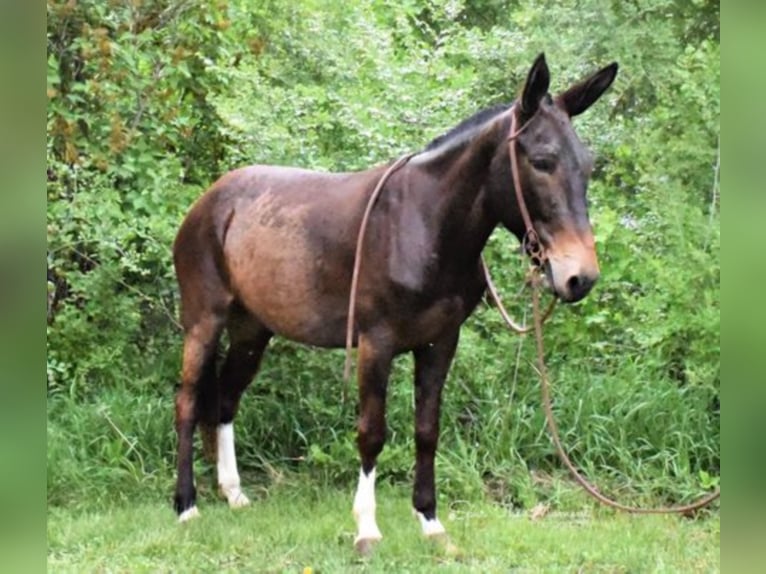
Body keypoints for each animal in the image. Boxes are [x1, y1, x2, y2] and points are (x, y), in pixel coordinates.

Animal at [172, 53, 616, 552]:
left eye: (587, 166)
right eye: (541, 161)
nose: (580, 277)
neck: (425, 226)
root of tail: (209, 201)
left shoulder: (440, 344)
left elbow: (427, 431)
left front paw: (430, 521)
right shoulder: (376, 344)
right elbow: (372, 433)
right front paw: (367, 527)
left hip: (252, 330)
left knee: (226, 400)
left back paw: (233, 493)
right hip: (204, 322)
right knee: (188, 401)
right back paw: (185, 504)